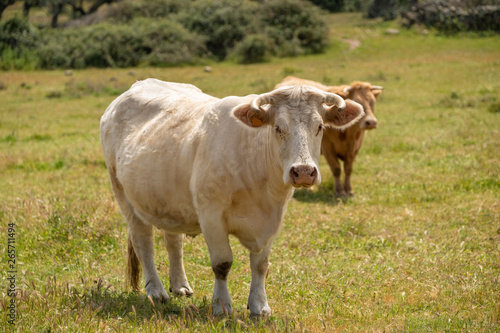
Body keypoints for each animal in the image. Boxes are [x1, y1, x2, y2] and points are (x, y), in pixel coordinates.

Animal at [99, 79, 364, 316]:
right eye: (278, 128)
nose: (304, 172)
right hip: (123, 195)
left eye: (319, 127)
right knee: (143, 243)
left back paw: (180, 285)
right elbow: (222, 263)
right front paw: (222, 305)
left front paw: (259, 305)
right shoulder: (211, 216)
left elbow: (261, 265)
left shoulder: (273, 220)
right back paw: (156, 290)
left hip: (168, 201)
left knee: (173, 242)